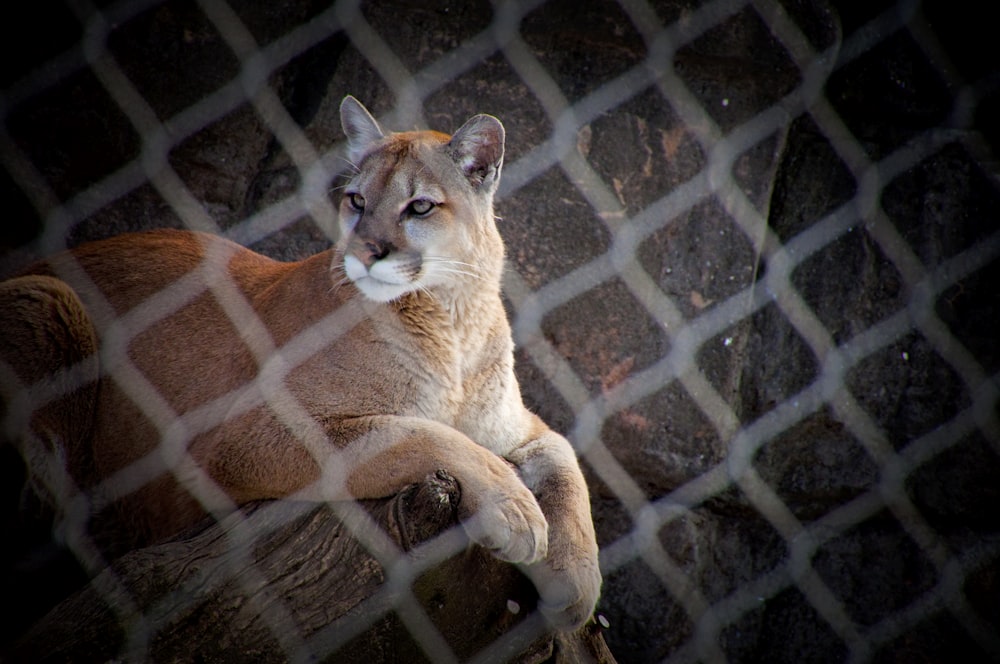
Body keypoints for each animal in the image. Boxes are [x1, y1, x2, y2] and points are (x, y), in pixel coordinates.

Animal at [1, 96, 600, 632]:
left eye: (421, 207)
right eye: (356, 200)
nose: (366, 251)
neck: (454, 320)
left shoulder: (516, 425)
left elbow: (563, 458)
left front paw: (576, 584)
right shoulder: (246, 436)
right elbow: (417, 433)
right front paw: (517, 512)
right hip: (49, 299)